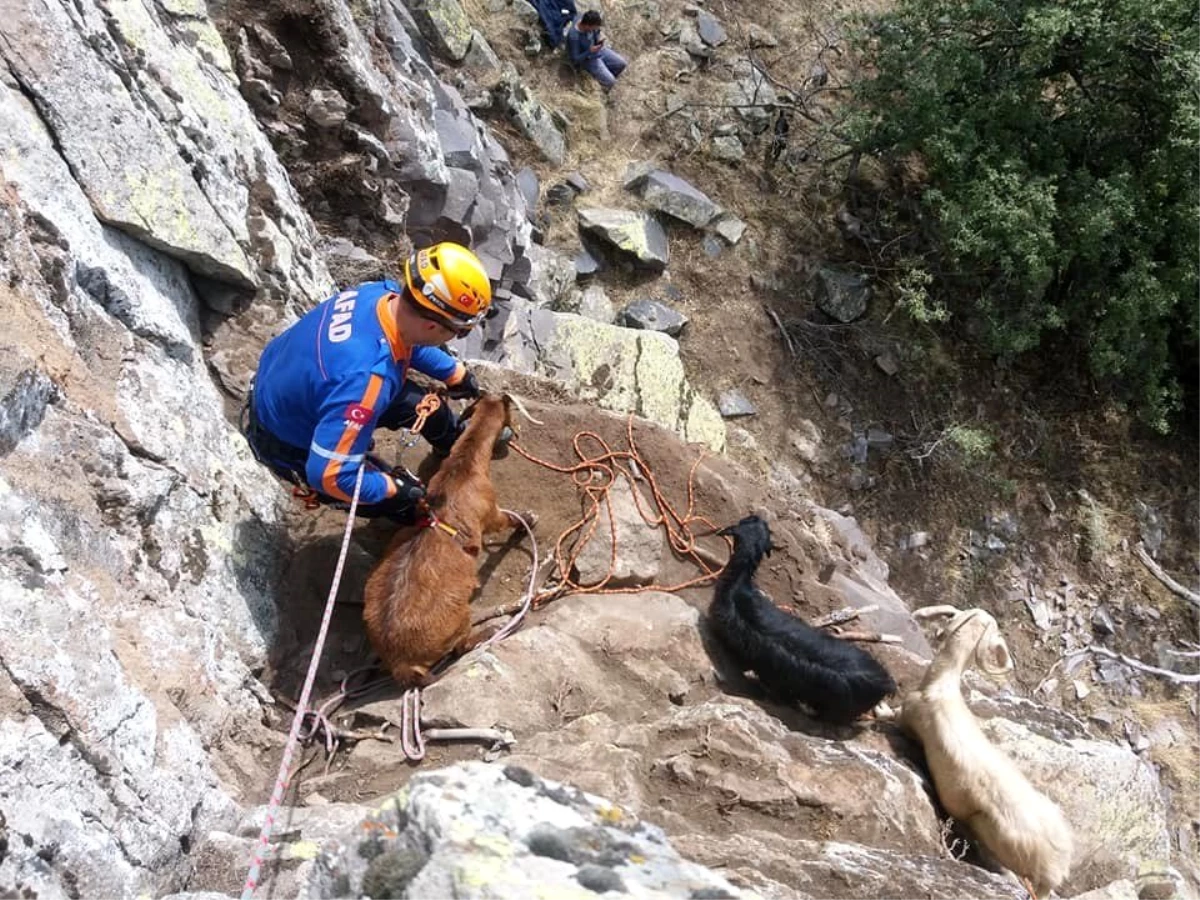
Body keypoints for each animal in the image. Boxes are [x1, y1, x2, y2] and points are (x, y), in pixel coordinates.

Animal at [357, 393, 532, 681]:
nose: (514, 432)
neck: (463, 466)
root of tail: (401, 663)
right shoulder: (491, 513)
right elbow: (507, 520)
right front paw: (527, 520)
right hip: (459, 618)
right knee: (461, 645)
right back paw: (489, 632)